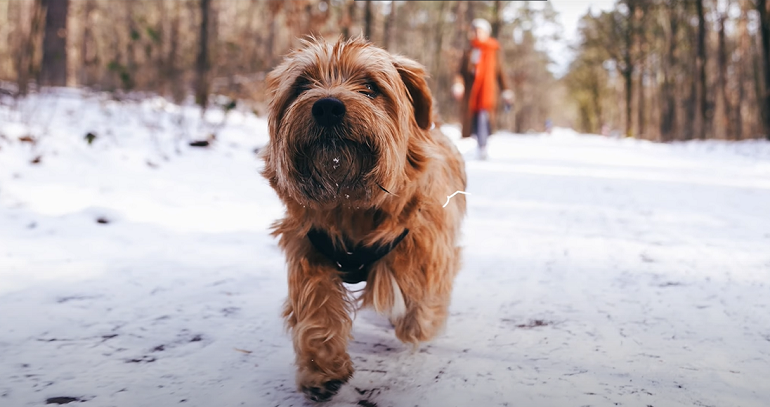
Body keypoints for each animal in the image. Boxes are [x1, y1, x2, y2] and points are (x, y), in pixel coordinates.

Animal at [260, 37, 464, 402]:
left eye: (370, 87)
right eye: (302, 85)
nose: (327, 107)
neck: (350, 203)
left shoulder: (426, 245)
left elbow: (422, 299)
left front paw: (416, 323)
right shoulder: (308, 250)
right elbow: (318, 309)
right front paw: (322, 369)